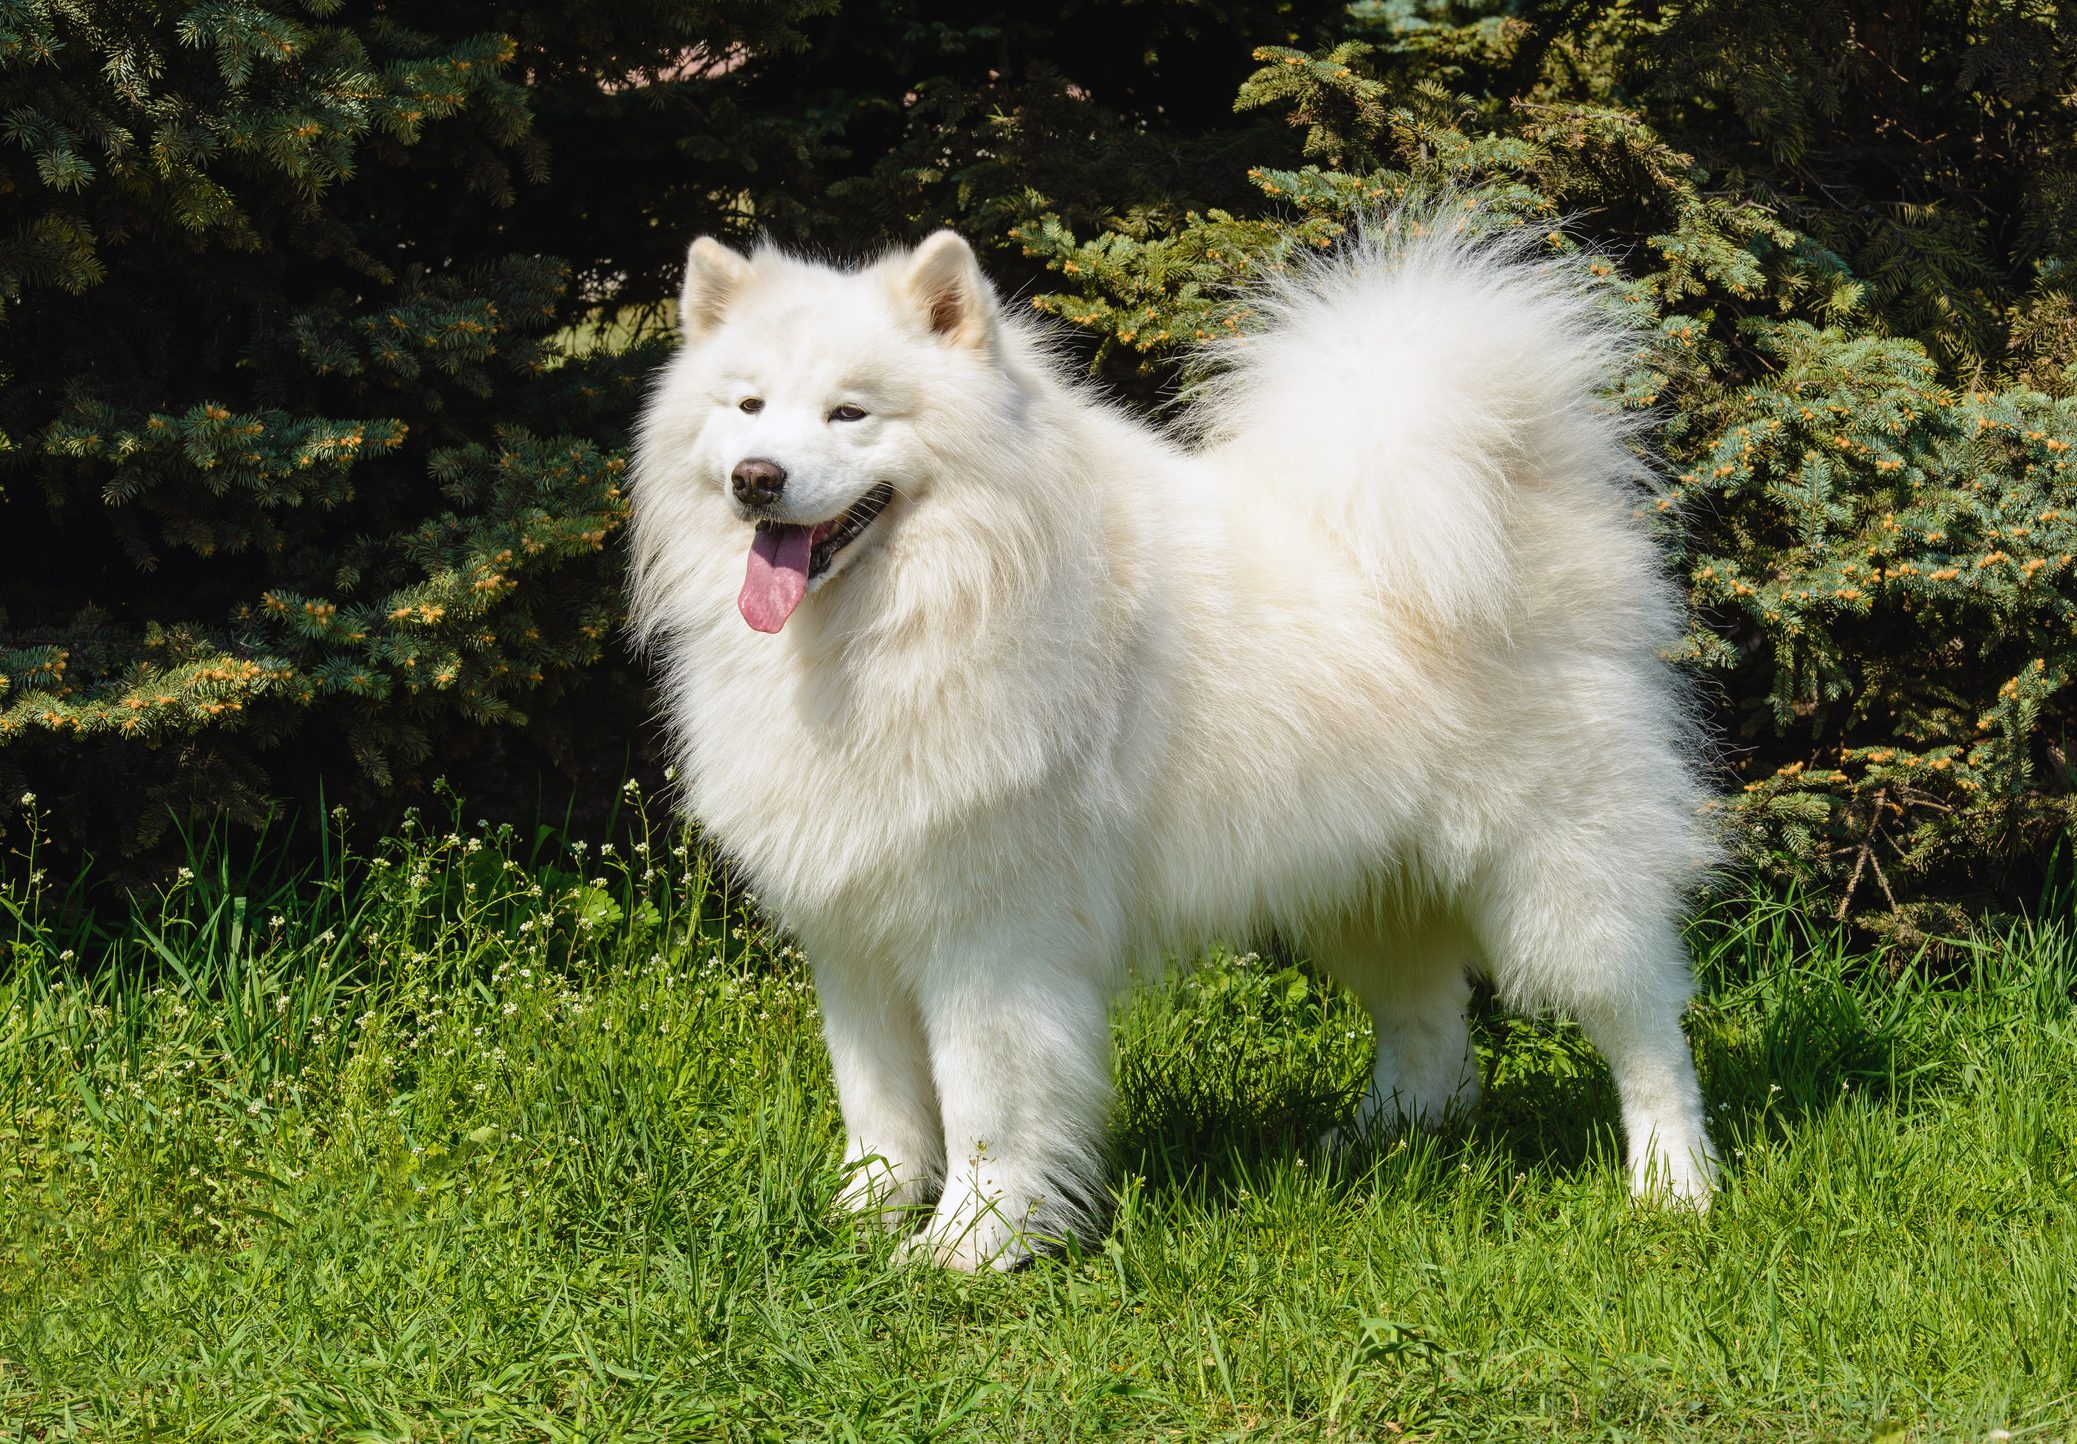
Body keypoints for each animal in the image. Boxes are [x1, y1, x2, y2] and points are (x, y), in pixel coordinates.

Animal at [627, 215, 1719, 1263]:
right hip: (1363, 882)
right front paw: (860, 1221)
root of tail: (1525, 497)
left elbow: (986, 1107)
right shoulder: (856, 932)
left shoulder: (990, 938)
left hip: (1557, 878)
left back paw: (1674, 1184)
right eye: (748, 407)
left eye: (850, 414)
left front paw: (970, 1243)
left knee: (1645, 1026)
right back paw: (1374, 1141)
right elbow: (881, 1108)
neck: (918, 613)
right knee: (1431, 1034)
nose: (756, 478)